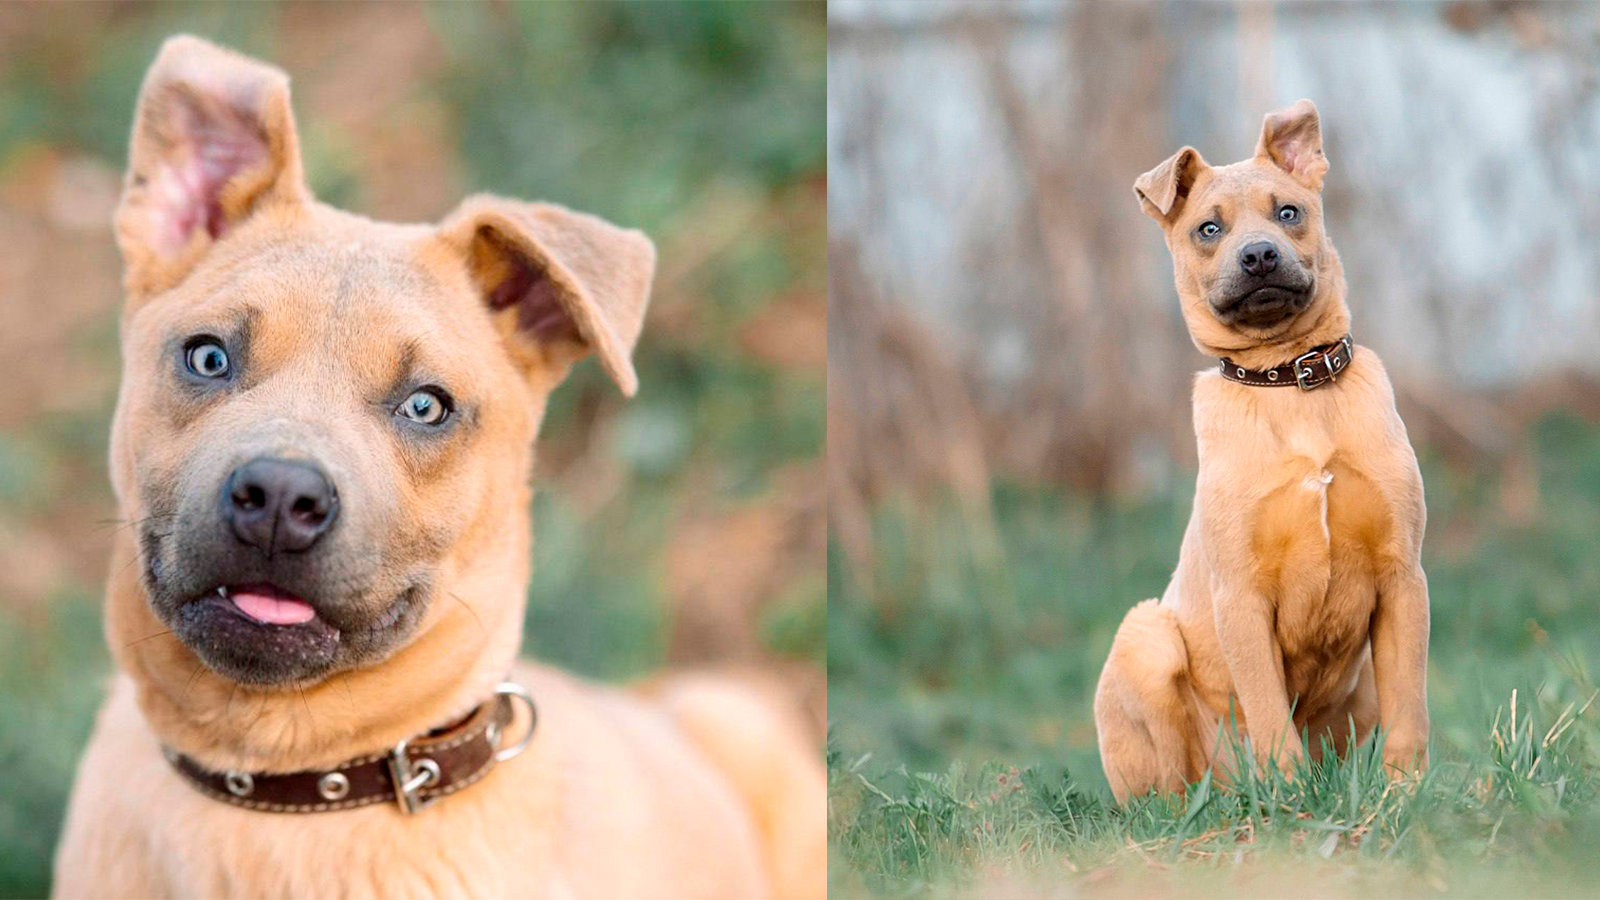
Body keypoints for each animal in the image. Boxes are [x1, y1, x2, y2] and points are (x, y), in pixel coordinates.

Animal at [1094, 99, 1433, 797]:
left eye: (1289, 213)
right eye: (1208, 229)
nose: (1258, 257)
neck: (1290, 384)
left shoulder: (1402, 579)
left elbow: (1409, 705)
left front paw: (1406, 793)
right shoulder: (1242, 599)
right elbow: (1270, 712)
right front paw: (1292, 795)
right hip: (1145, 638)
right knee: (1172, 785)